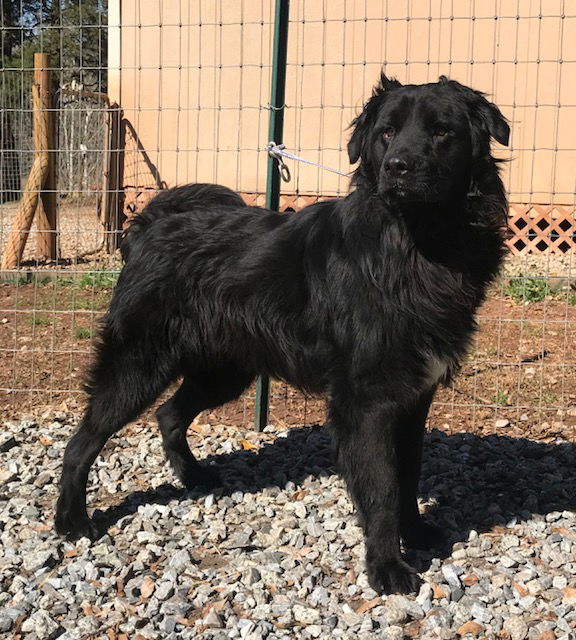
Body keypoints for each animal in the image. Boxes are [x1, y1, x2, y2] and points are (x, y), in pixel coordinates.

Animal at [55, 74, 508, 596]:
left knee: (168, 415)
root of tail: (149, 226)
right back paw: (71, 521)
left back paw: (194, 476)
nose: (398, 167)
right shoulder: (367, 401)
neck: (417, 241)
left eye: (440, 131)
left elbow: (408, 474)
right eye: (387, 133)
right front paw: (387, 567)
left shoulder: (415, 396)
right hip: (138, 365)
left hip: (225, 371)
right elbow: (382, 486)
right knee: (83, 440)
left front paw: (414, 533)